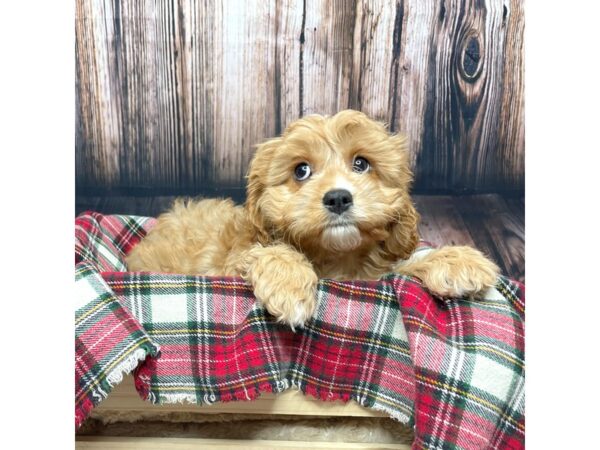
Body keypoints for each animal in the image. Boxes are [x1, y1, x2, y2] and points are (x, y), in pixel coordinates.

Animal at [127, 109, 502, 326]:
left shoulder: (374, 276)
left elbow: (404, 267)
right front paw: (289, 285)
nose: (338, 197)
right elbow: (270, 251)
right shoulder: (232, 261)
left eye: (361, 163)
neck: (335, 259)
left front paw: (457, 260)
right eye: (301, 170)